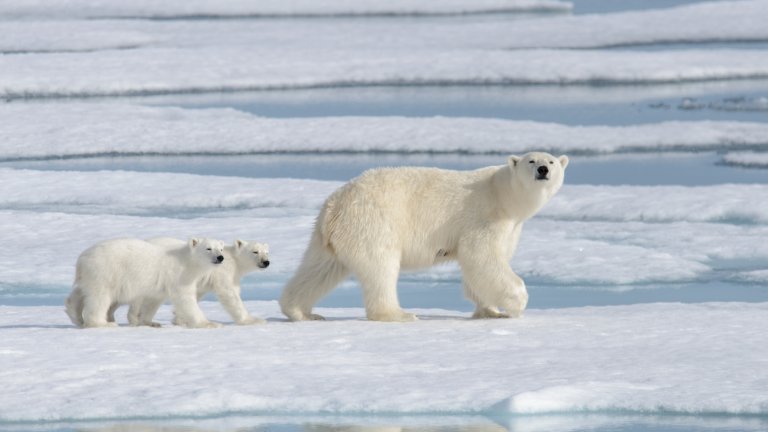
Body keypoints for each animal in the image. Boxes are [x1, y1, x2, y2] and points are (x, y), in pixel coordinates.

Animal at [66, 236, 225, 328]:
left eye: (221, 248)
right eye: (208, 248)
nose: (220, 257)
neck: (187, 261)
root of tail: (82, 259)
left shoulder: (160, 284)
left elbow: (153, 301)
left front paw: (150, 322)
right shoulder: (178, 276)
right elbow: (185, 299)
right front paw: (209, 323)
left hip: (92, 275)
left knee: (80, 293)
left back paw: (75, 315)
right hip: (106, 272)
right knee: (99, 298)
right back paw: (103, 323)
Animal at [280, 151, 568, 320]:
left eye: (552, 161)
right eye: (532, 160)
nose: (543, 170)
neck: (503, 194)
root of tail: (334, 205)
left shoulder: (511, 227)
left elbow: (480, 266)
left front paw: (489, 310)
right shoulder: (485, 216)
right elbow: (481, 257)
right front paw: (516, 303)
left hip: (329, 237)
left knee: (319, 269)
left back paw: (300, 311)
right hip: (374, 223)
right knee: (380, 268)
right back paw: (398, 314)